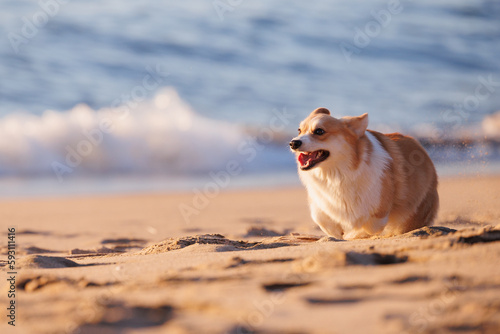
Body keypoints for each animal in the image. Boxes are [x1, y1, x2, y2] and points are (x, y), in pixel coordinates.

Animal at [290, 108, 438, 239]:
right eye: (299, 130)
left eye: (319, 131)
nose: (293, 143)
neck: (336, 175)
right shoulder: (320, 199)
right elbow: (320, 218)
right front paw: (337, 232)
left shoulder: (379, 210)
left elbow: (369, 226)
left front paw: (353, 234)